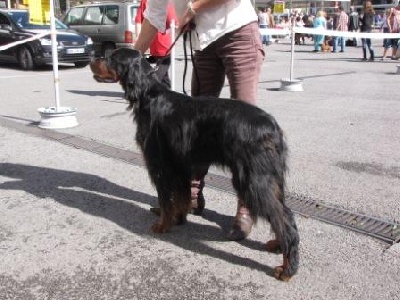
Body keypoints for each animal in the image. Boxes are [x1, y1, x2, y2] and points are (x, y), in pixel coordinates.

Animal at [89, 48, 298, 280]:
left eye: (111, 57)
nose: (90, 58)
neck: (148, 95)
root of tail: (272, 126)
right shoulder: (180, 164)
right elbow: (181, 196)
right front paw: (179, 218)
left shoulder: (159, 164)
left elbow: (165, 199)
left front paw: (162, 225)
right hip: (270, 178)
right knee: (284, 213)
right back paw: (278, 245)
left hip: (253, 179)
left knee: (285, 219)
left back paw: (287, 269)